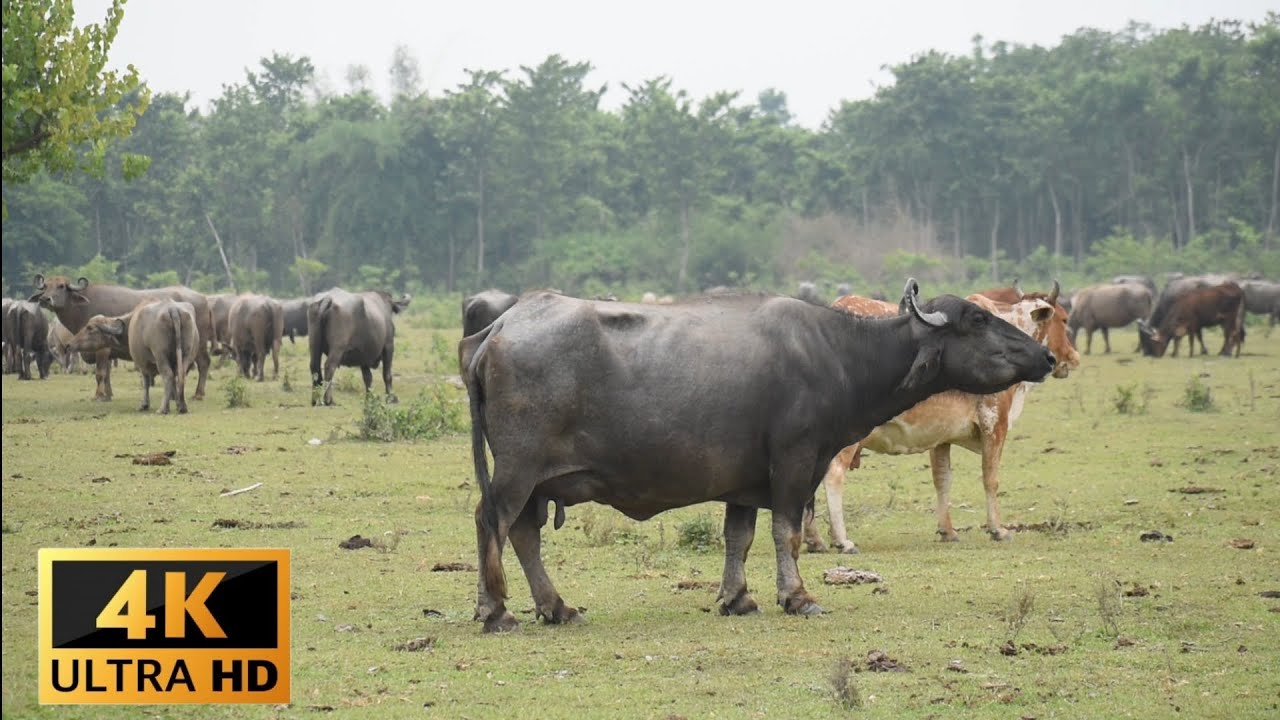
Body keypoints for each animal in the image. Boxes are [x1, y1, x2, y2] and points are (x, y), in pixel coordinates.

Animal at [29, 275, 214, 402]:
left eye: (61, 286)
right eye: (45, 286)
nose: (45, 299)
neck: (83, 306)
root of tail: (204, 298)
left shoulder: (103, 349)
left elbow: (100, 373)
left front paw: (99, 395)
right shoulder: (108, 352)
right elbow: (108, 373)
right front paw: (108, 394)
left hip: (199, 345)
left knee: (204, 363)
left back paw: (198, 394)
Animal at [66, 300, 201, 415]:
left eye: (90, 328)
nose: (69, 344)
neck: (130, 324)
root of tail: (172, 309)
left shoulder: (141, 362)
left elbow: (146, 381)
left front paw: (144, 404)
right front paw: (176, 404)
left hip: (160, 355)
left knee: (168, 376)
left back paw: (162, 409)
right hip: (186, 355)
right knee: (180, 375)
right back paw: (182, 407)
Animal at [803, 289, 1079, 554]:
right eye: (1064, 319)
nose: (1071, 357)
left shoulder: (940, 438)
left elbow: (942, 480)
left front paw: (948, 531)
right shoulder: (994, 423)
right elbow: (991, 478)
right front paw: (998, 529)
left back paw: (815, 540)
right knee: (833, 476)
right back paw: (841, 540)